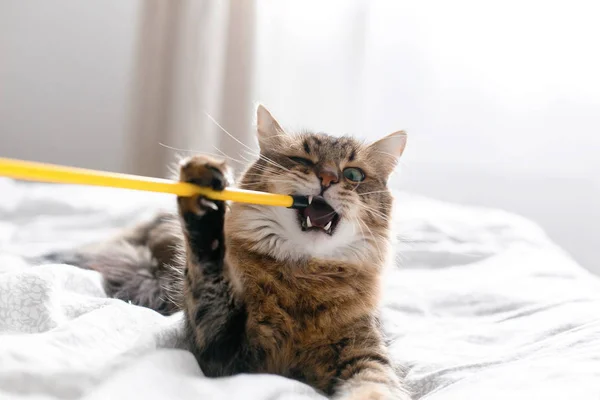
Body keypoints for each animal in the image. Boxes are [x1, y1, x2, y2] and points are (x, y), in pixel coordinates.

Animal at [42, 104, 410, 398]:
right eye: (300, 160)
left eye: (353, 174)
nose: (329, 178)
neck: (304, 278)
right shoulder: (224, 350)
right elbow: (208, 265)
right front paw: (203, 199)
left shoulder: (365, 351)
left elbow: (375, 385)